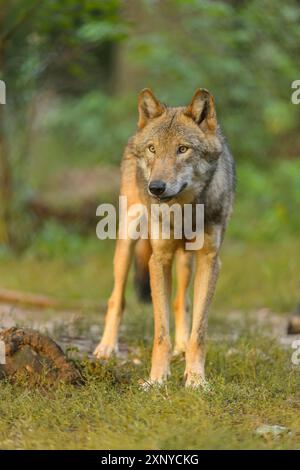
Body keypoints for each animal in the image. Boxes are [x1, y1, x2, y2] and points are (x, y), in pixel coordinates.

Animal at [95, 88, 236, 390]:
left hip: (186, 261)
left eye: (182, 149)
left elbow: (199, 331)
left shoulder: (210, 260)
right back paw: (106, 348)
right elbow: (160, 333)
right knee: (116, 298)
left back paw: (181, 347)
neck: (183, 209)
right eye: (153, 149)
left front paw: (195, 378)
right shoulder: (158, 259)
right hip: (127, 241)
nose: (156, 188)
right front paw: (157, 379)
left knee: (181, 302)